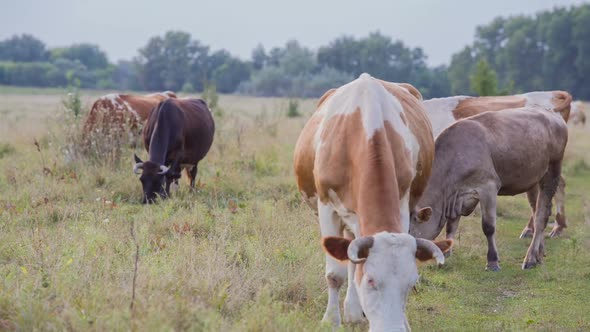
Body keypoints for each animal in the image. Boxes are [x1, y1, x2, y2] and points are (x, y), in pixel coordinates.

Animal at [292, 74, 454, 330]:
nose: (392, 328)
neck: (366, 131)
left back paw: (354, 311)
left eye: (411, 284)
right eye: (370, 280)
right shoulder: (326, 207)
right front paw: (331, 320)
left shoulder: (402, 204)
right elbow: (335, 273)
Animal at [410, 107, 572, 272]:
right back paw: (539, 252)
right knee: (536, 209)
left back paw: (531, 257)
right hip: (533, 178)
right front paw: (447, 251)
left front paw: (492, 261)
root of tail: (551, 113)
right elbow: (451, 225)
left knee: (541, 215)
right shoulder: (457, 196)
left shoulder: (487, 186)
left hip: (552, 171)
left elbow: (488, 227)